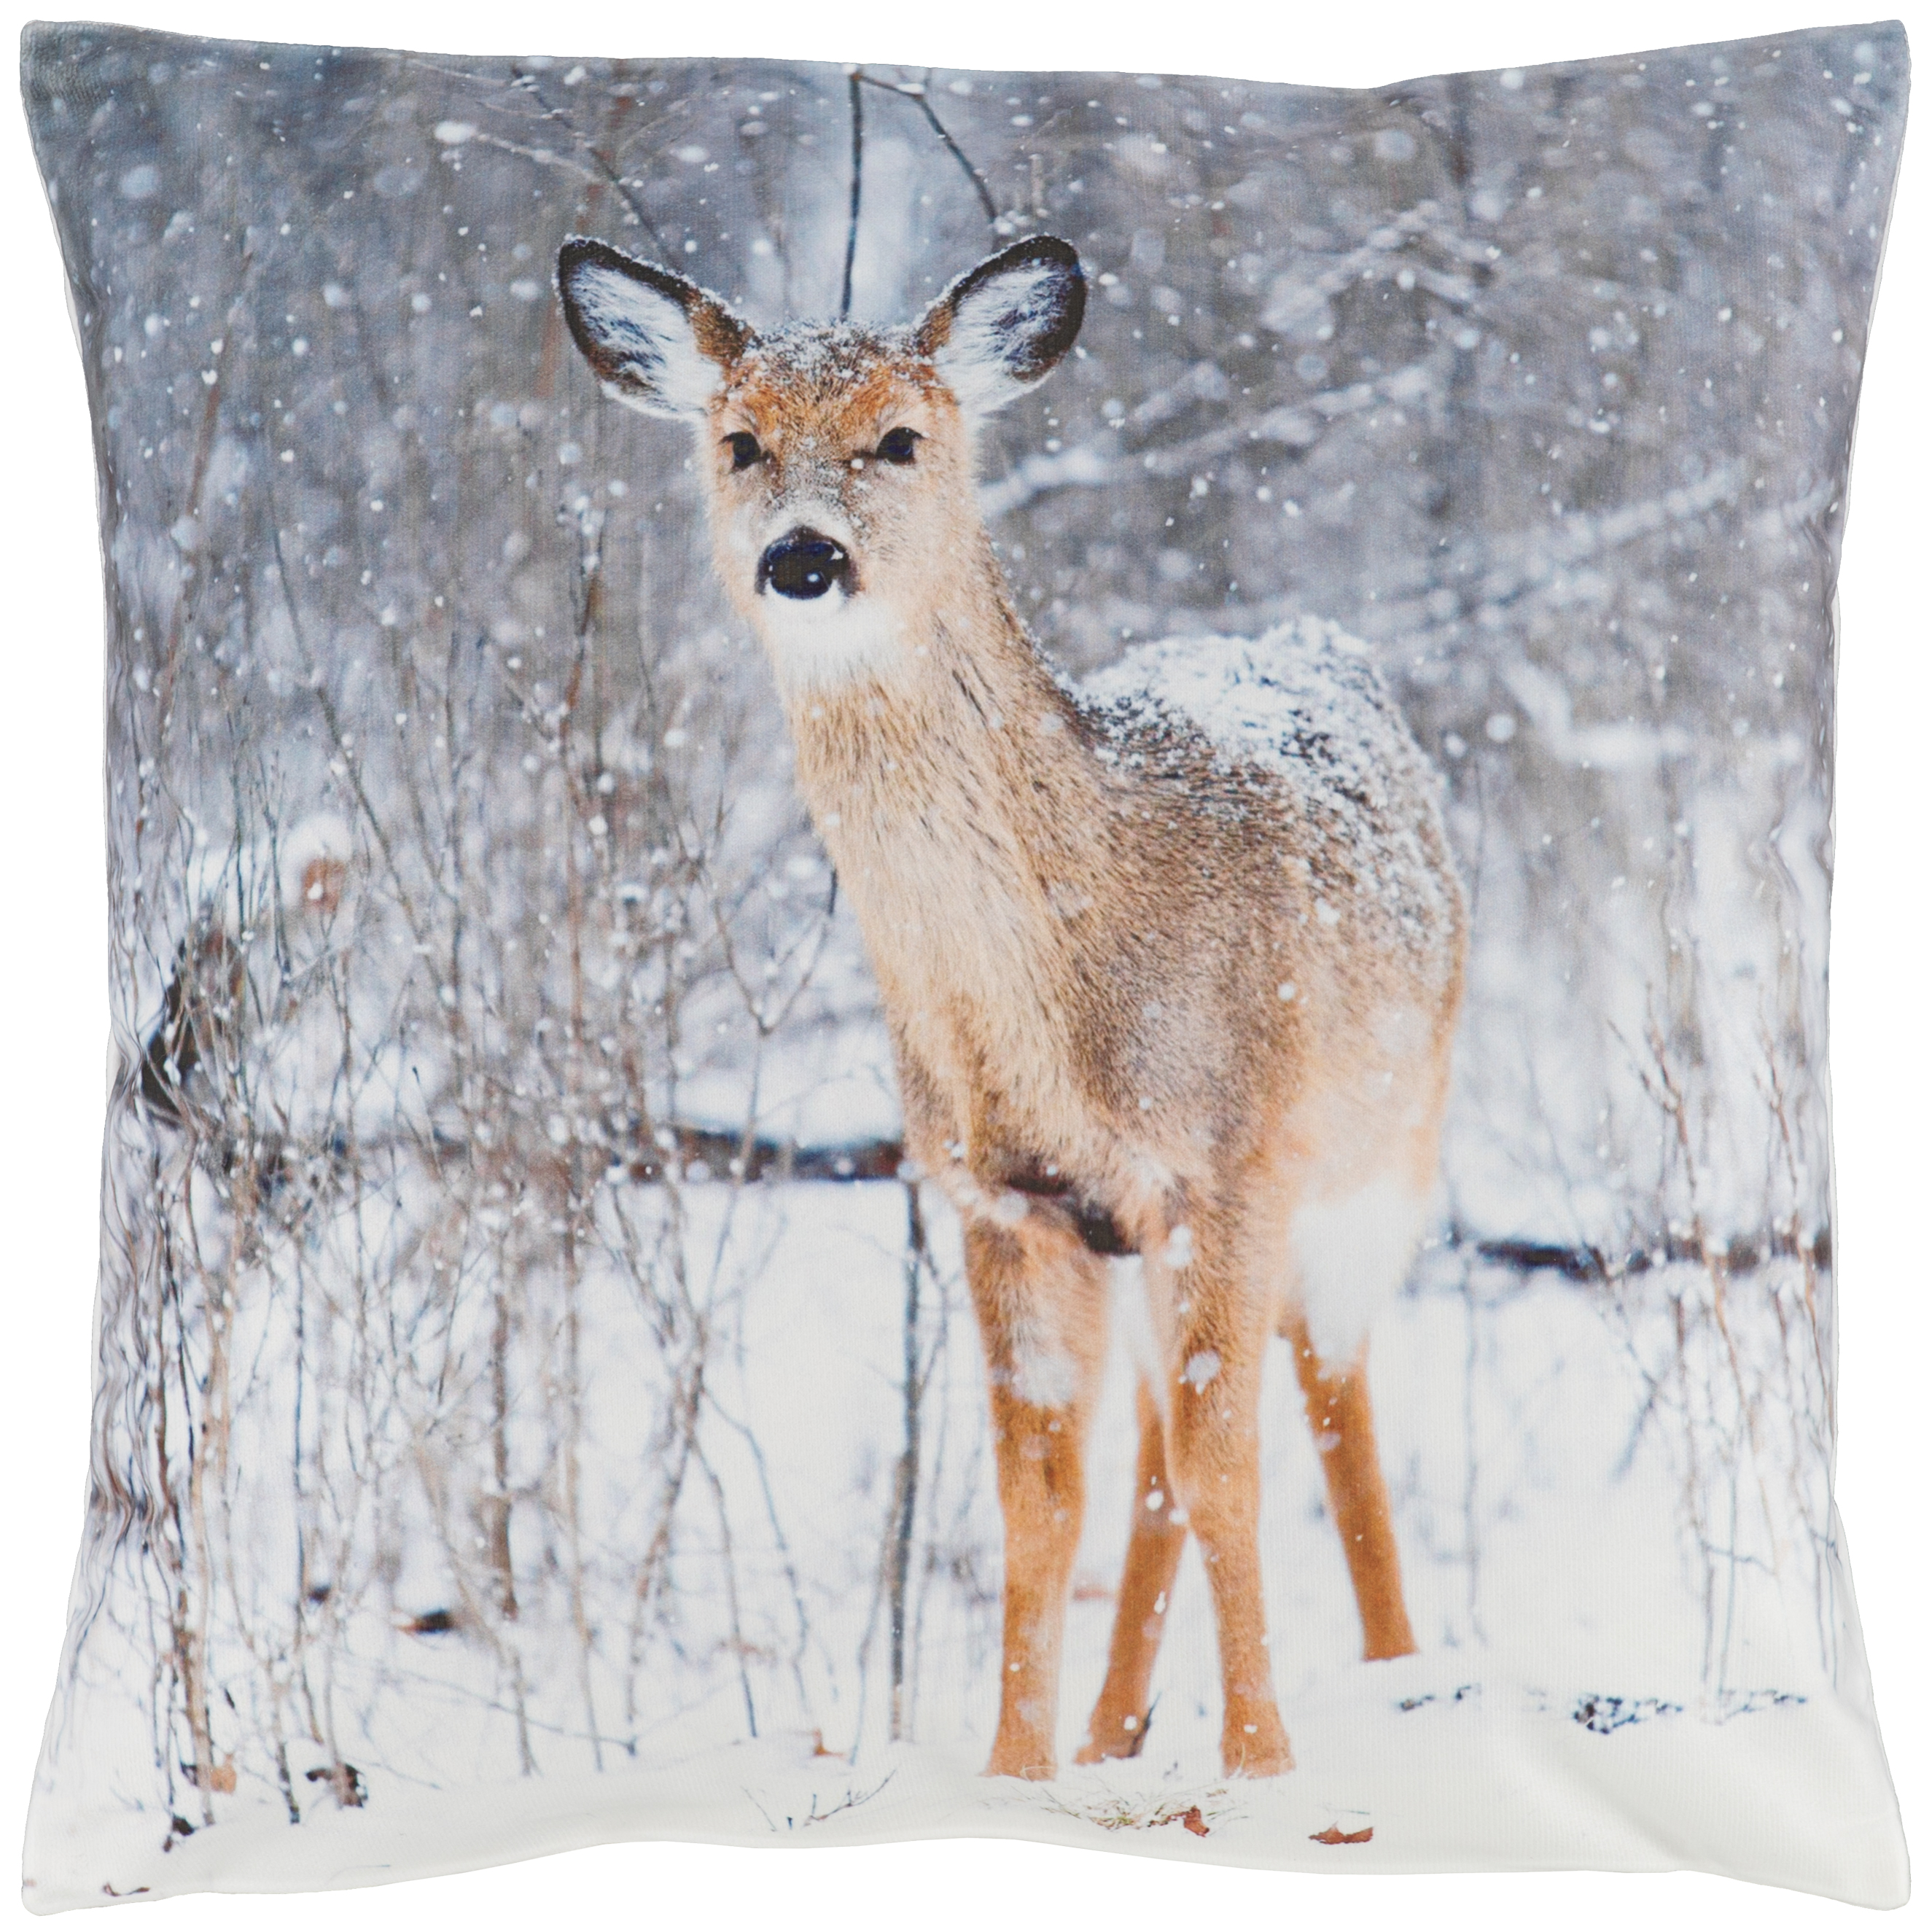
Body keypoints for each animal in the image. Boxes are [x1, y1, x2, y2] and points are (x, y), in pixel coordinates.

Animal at [557, 231, 1466, 1781]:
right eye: (739, 443)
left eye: (900, 438)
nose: (805, 556)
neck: (1061, 1008)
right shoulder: (1001, 1197)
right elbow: (1041, 1501)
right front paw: (1015, 1774)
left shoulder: (1232, 1161)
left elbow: (1232, 1470)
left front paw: (1263, 1766)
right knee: (1156, 1450)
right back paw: (1114, 1736)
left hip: (1381, 1160)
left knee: (1331, 1398)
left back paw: (1400, 1674)